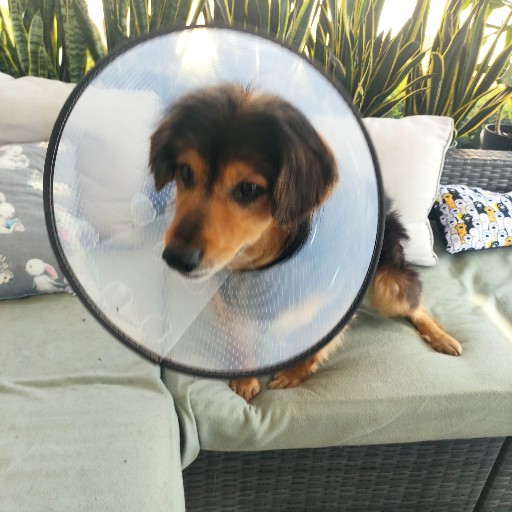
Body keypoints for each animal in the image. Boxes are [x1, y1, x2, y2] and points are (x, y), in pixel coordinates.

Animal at [149, 84, 462, 401]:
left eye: (249, 189)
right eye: (185, 172)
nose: (175, 258)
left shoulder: (336, 298)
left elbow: (318, 343)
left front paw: (294, 374)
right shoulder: (228, 294)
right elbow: (239, 338)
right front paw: (245, 377)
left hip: (387, 284)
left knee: (415, 304)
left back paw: (442, 337)